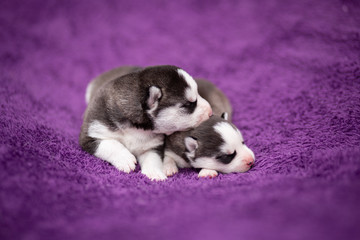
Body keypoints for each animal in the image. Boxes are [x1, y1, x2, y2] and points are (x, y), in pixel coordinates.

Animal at [80, 65, 212, 180]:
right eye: (188, 104)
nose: (210, 111)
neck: (134, 128)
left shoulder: (152, 145)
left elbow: (152, 159)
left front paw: (155, 173)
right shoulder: (91, 133)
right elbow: (110, 144)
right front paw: (125, 158)